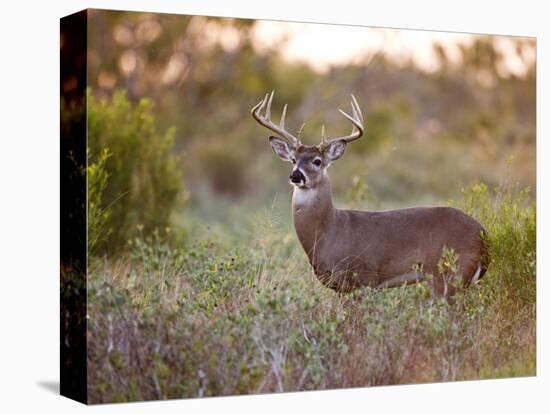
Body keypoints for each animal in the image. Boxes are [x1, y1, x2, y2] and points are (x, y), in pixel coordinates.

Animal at [253, 91, 492, 298]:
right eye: (294, 159)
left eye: (317, 161)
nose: (295, 175)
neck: (329, 231)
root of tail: (484, 234)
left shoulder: (363, 278)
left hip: (449, 275)